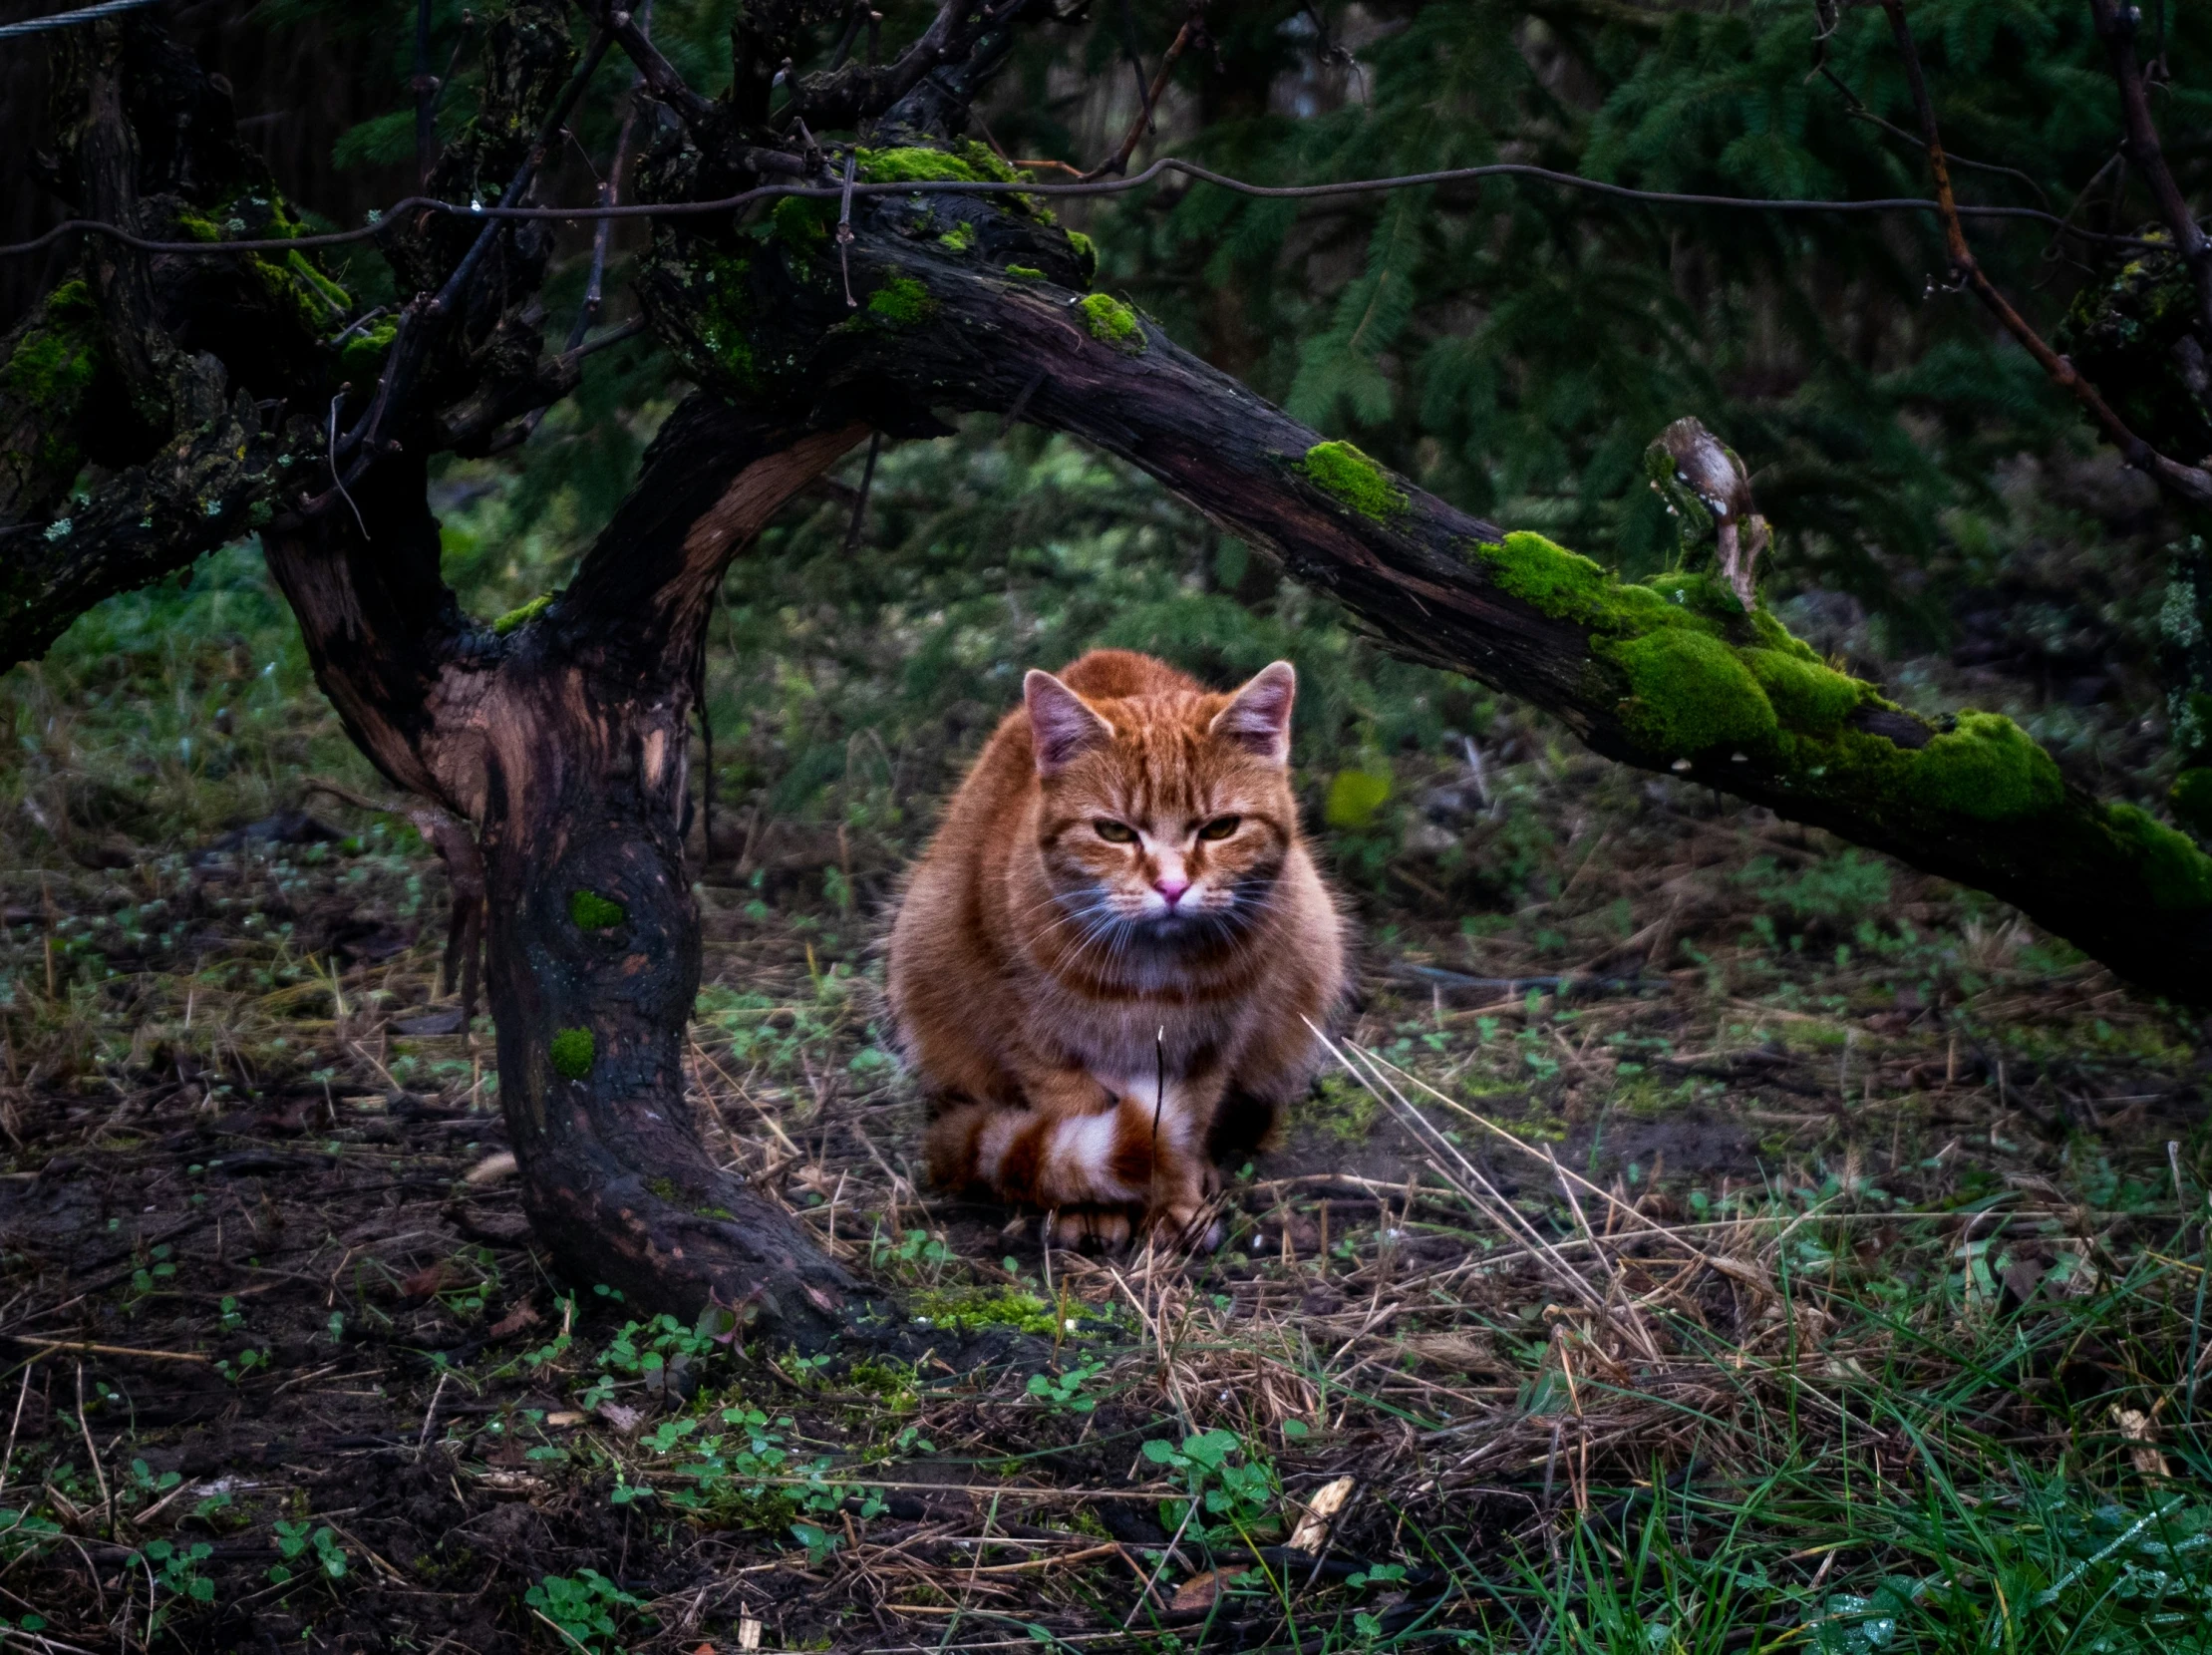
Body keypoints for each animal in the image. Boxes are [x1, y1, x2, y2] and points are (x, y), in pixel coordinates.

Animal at [884, 646, 1345, 1238]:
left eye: (1220, 829)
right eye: (1115, 832)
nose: (1172, 887)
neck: (1150, 970)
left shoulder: (1211, 1043)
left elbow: (1182, 1126)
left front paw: (1173, 1198)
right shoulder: (1032, 1036)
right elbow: (1073, 1111)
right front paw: (1089, 1203)